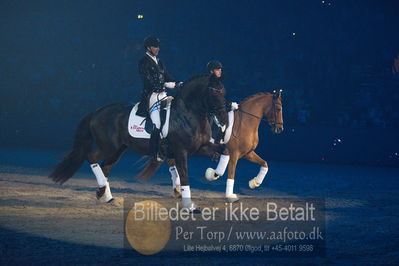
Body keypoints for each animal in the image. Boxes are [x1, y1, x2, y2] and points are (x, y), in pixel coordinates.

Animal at [49, 74, 230, 211]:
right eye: (214, 93)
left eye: (224, 92)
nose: (223, 119)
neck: (187, 114)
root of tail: (96, 112)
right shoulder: (181, 151)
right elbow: (184, 174)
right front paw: (190, 206)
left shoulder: (201, 147)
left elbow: (224, 151)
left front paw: (214, 174)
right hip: (108, 146)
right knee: (92, 157)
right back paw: (103, 193)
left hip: (118, 149)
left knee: (105, 166)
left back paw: (106, 196)